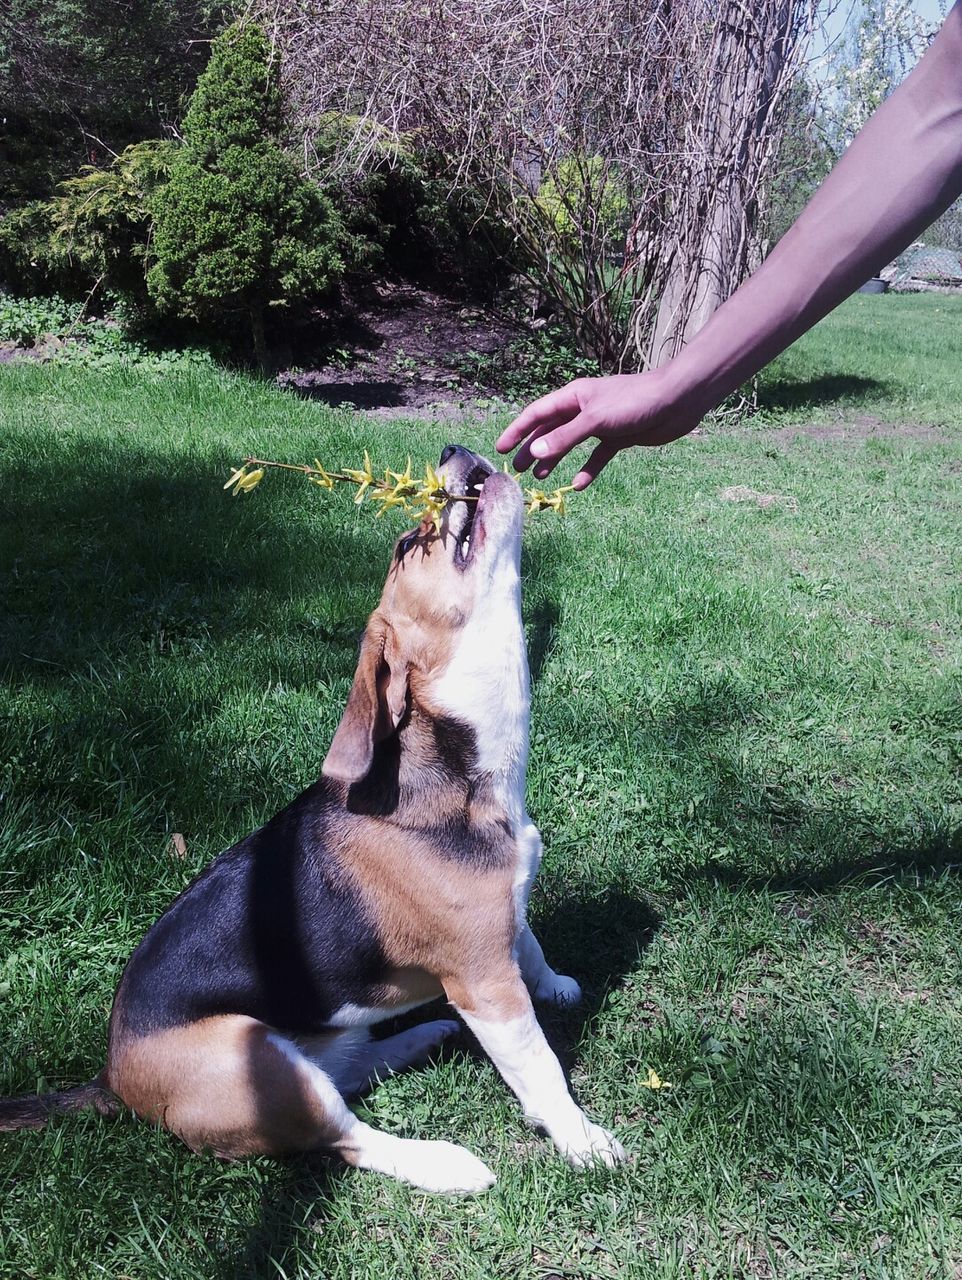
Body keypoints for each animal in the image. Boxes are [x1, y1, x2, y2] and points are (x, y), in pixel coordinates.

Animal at [0, 445, 624, 1192]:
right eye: (409, 543)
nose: (453, 451)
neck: (467, 773)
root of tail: (113, 1079)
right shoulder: (485, 983)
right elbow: (541, 1068)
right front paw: (582, 1140)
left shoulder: (506, 930)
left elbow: (529, 944)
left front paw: (556, 985)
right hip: (254, 1059)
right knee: (346, 1136)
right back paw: (445, 1161)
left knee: (354, 1068)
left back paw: (425, 1034)